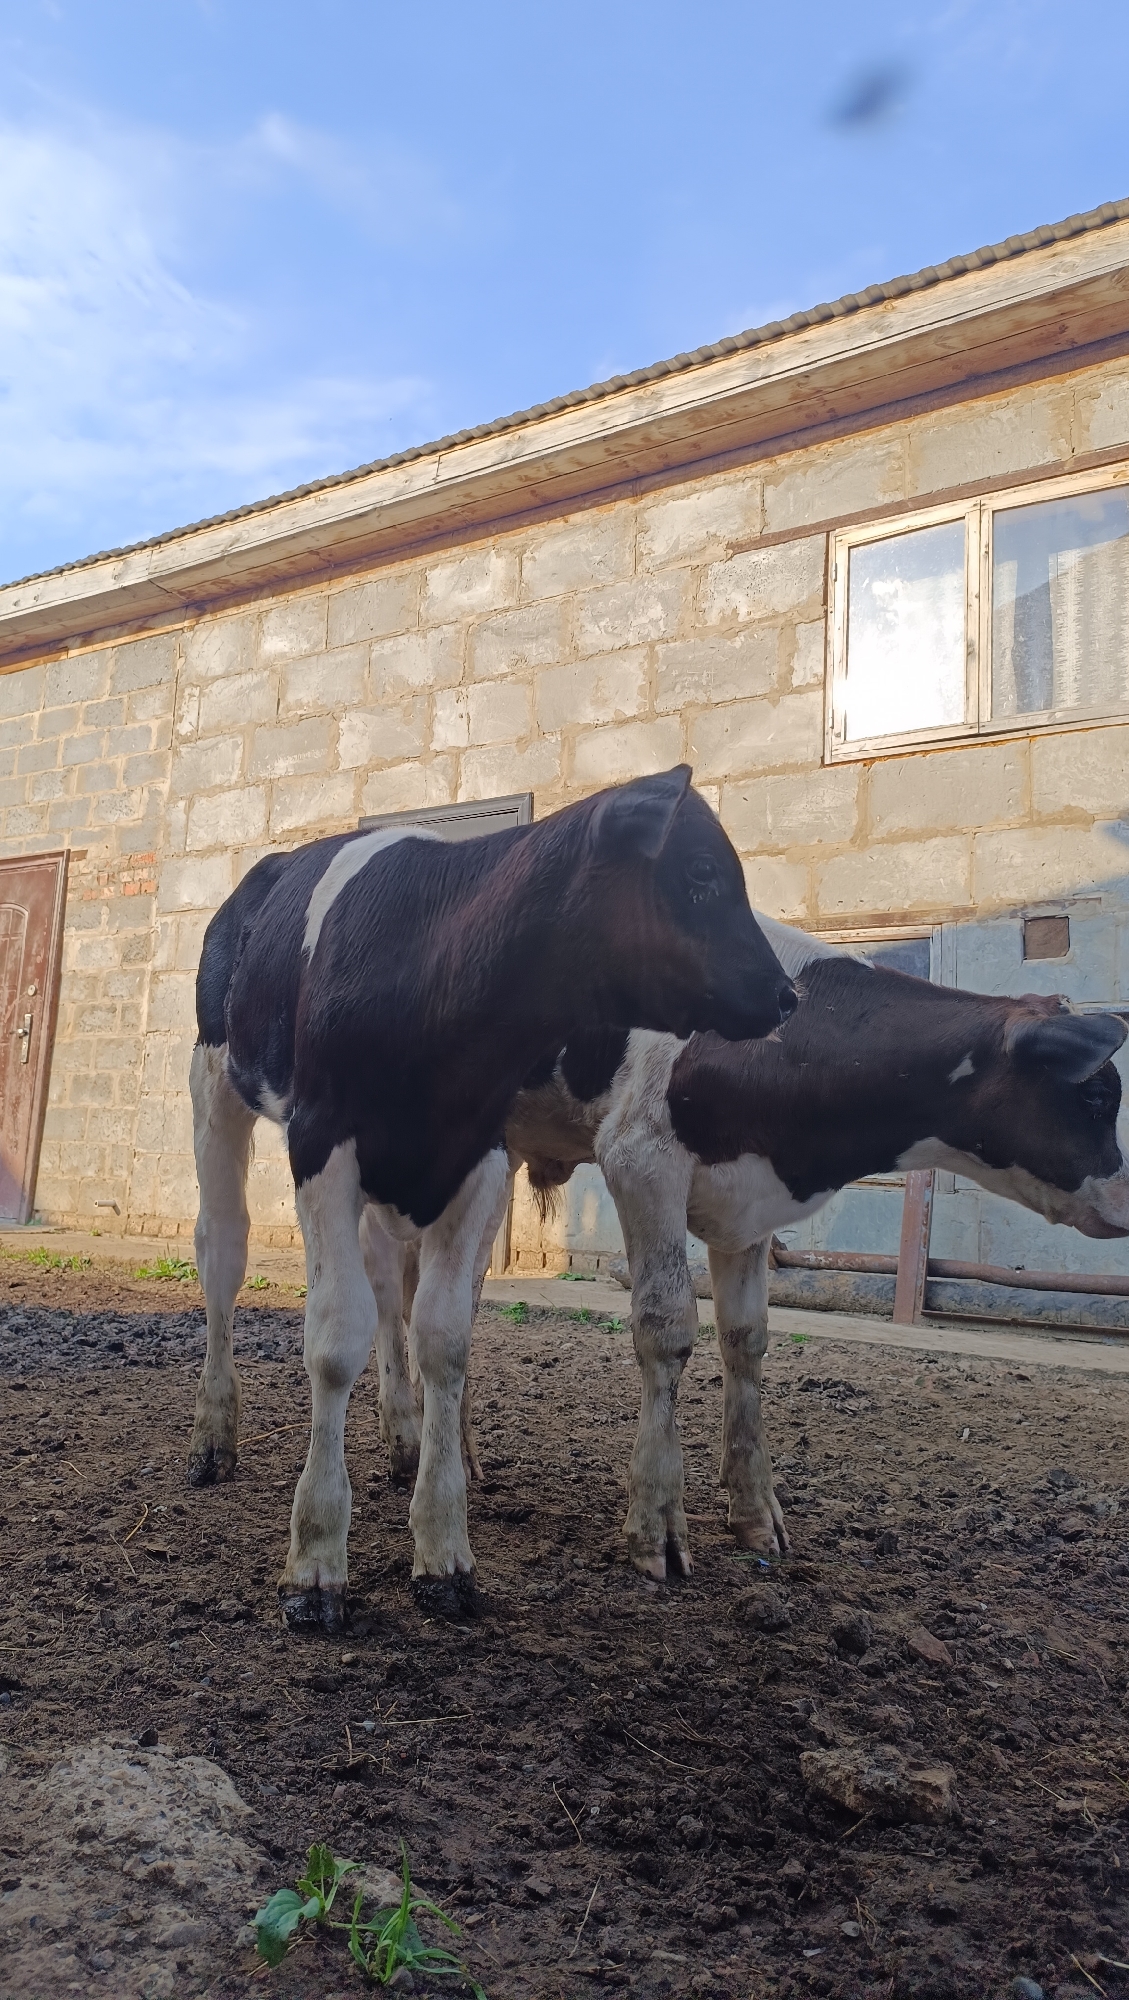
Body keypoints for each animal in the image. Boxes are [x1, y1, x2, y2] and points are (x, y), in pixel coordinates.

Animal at [189, 767, 796, 1630]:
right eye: (703, 874)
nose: (785, 995)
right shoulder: (321, 1142)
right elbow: (334, 1340)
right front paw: (314, 1561)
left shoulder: (477, 1154)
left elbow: (443, 1336)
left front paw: (443, 1552)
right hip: (214, 1082)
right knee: (223, 1252)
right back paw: (214, 1435)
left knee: (386, 1280)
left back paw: (402, 1437)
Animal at [502, 916, 1129, 1580]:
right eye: (1094, 1096)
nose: (1125, 1202)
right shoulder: (640, 1158)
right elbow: (666, 1329)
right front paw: (657, 1522)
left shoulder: (750, 1201)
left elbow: (746, 1339)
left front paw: (756, 1512)